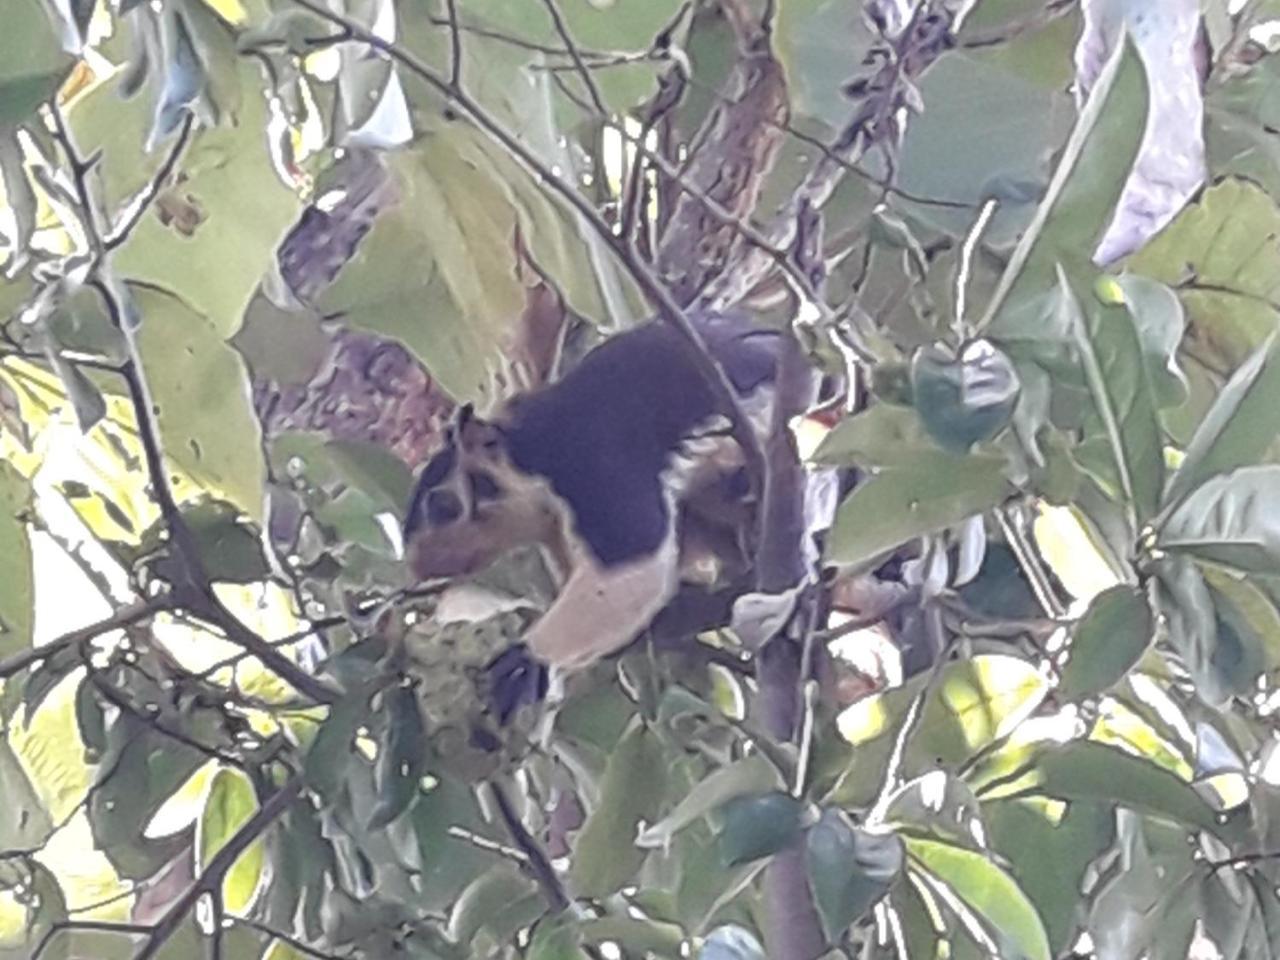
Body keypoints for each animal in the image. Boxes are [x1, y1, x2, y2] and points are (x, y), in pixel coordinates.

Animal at [401, 312, 798, 686]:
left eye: (442, 506)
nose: (419, 565)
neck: (530, 457)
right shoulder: (555, 532)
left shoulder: (595, 467)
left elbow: (634, 562)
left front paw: (528, 662)